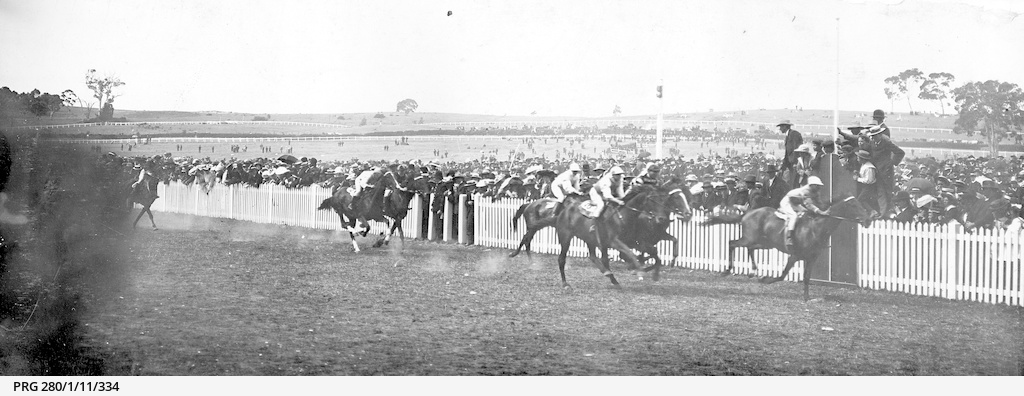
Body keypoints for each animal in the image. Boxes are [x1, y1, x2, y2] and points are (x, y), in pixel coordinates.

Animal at [704, 196, 872, 302]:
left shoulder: (812, 258)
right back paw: (728, 270)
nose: (869, 219)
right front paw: (766, 279)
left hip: (765, 243)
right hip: (749, 238)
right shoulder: (794, 256)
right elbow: (782, 275)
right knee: (732, 243)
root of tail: (747, 213)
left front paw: (807, 298)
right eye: (854, 205)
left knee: (750, 248)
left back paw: (754, 270)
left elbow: (806, 278)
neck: (816, 228)